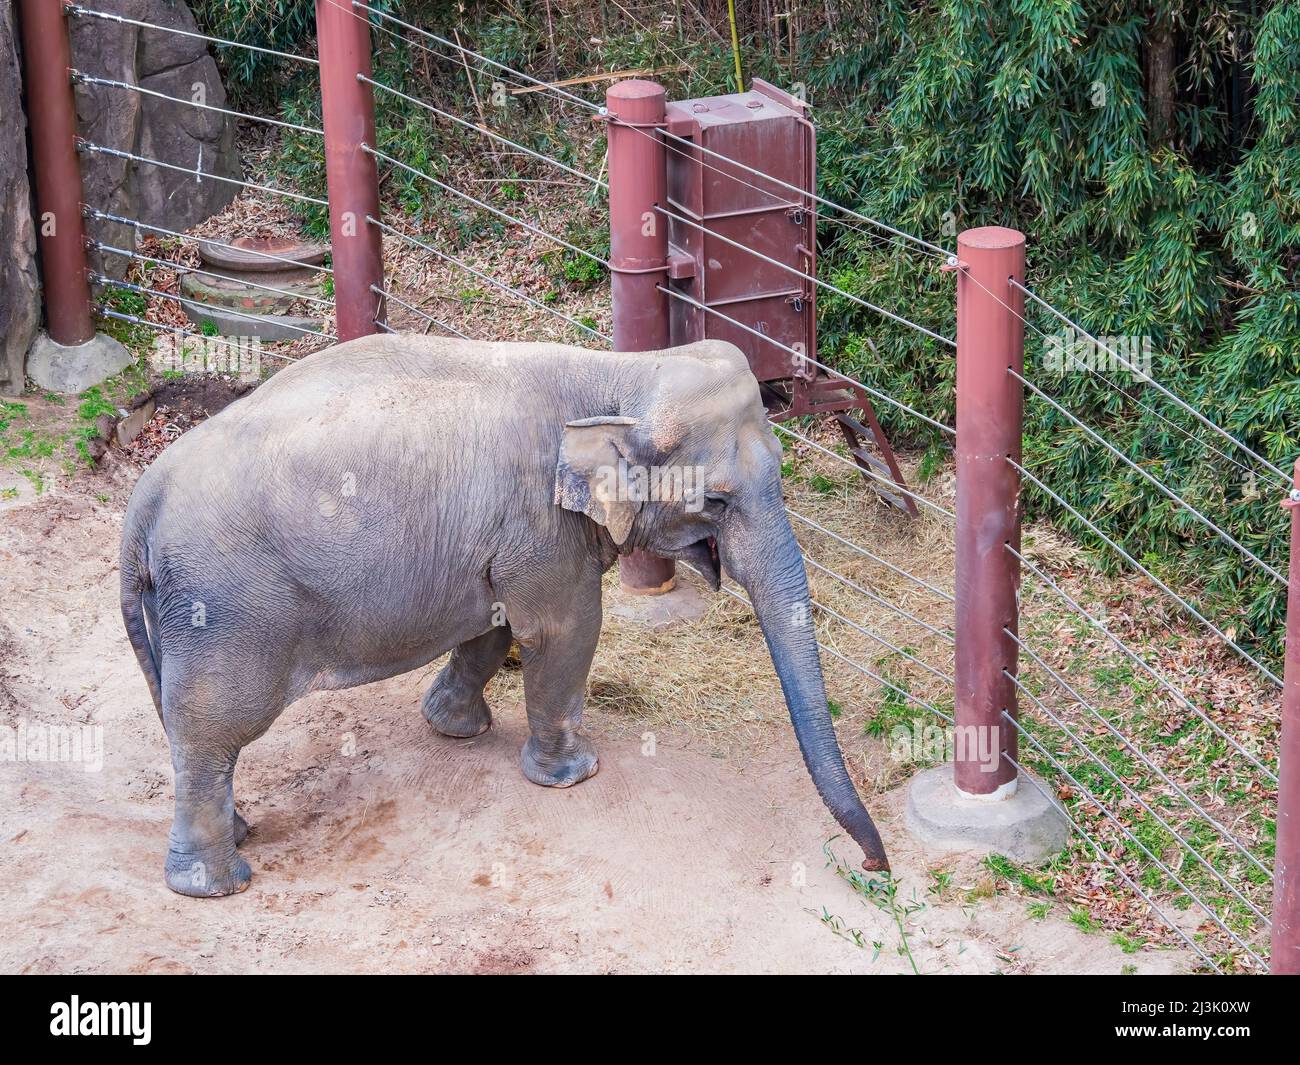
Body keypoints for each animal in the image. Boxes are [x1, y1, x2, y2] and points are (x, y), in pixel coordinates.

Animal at [122, 335, 889, 899]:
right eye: (720, 500)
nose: (873, 868)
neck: (617, 374)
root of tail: (143, 502)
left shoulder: (500, 538)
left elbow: (492, 624)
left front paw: (456, 727)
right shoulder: (541, 525)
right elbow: (563, 629)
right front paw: (574, 772)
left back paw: (240, 830)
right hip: (226, 610)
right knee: (212, 727)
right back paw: (218, 882)